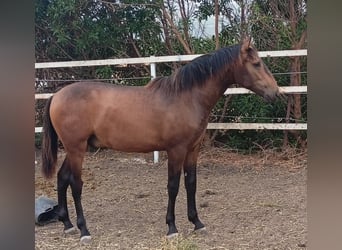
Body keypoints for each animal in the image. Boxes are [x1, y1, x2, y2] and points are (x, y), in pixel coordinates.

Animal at [41, 38, 284, 243]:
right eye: (256, 64)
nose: (276, 92)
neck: (186, 97)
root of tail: (57, 95)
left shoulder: (193, 149)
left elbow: (191, 183)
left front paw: (197, 223)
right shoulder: (176, 150)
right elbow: (173, 186)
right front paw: (172, 228)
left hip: (75, 149)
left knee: (62, 178)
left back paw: (67, 224)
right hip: (77, 149)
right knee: (75, 184)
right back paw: (84, 230)